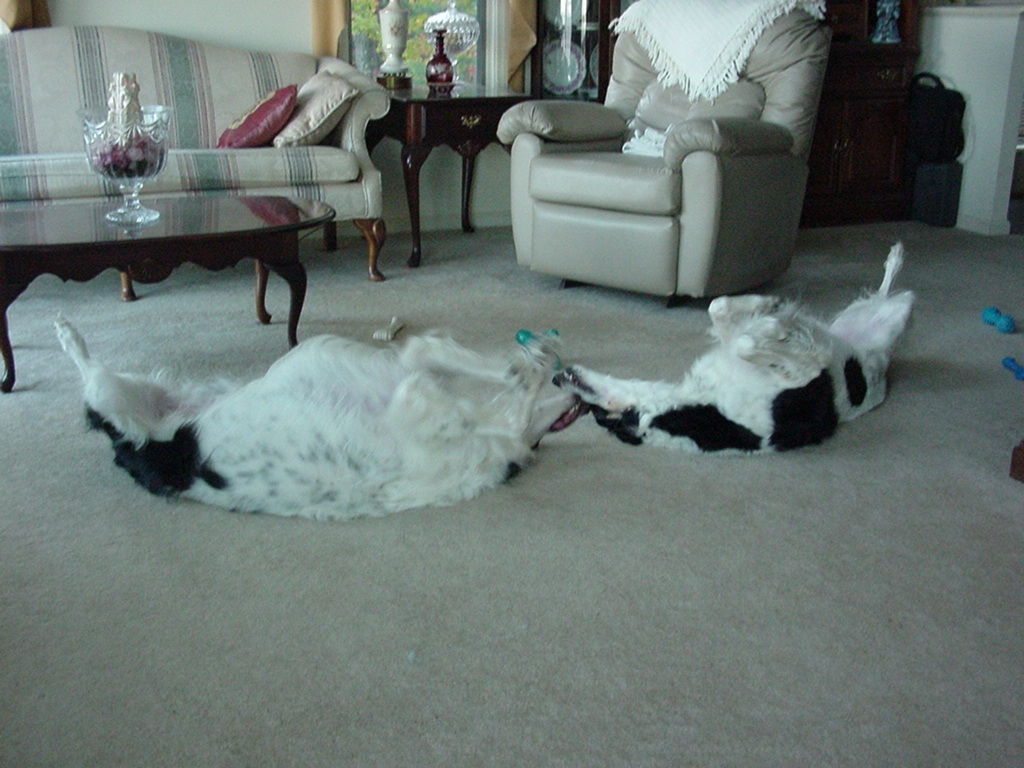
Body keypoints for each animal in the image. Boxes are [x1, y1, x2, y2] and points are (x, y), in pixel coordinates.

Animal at [55, 321, 588, 520]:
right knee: (89, 373)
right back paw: (66, 333)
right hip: (126, 399)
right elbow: (463, 366)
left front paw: (534, 366)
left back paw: (66, 333)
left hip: (126, 400)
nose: (577, 398)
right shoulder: (413, 388)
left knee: (93, 380)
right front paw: (535, 363)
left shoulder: (413, 391)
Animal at [555, 243, 914, 453]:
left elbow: (720, 309)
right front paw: (775, 321)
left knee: (882, 290)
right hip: (895, 318)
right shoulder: (802, 375)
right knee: (900, 296)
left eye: (586, 407)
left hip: (856, 317)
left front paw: (766, 306)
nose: (557, 377)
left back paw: (894, 255)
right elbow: (749, 342)